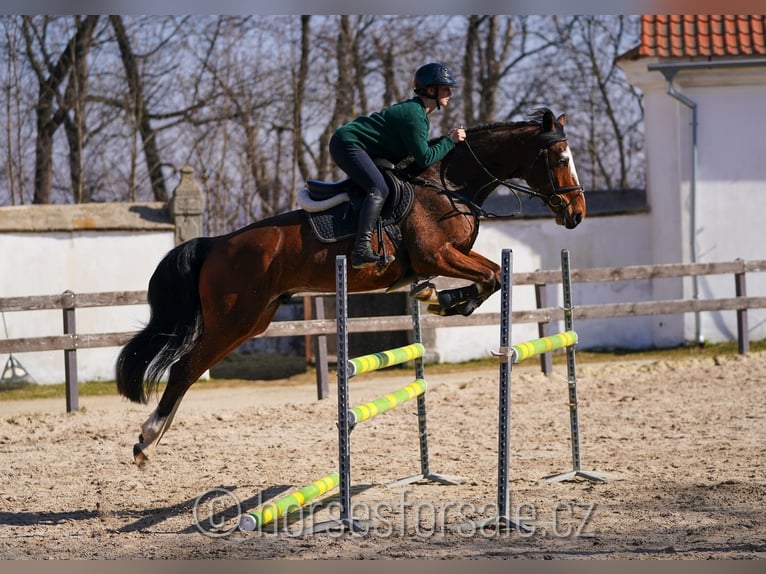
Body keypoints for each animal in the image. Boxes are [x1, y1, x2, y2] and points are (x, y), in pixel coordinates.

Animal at [114, 109, 584, 468]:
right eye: (560, 158)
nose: (577, 214)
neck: (449, 186)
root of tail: (213, 243)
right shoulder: (436, 256)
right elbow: (491, 277)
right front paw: (440, 299)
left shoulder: (449, 257)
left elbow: (491, 277)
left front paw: (436, 298)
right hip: (233, 319)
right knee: (184, 368)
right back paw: (147, 439)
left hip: (254, 320)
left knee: (189, 369)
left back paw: (155, 435)